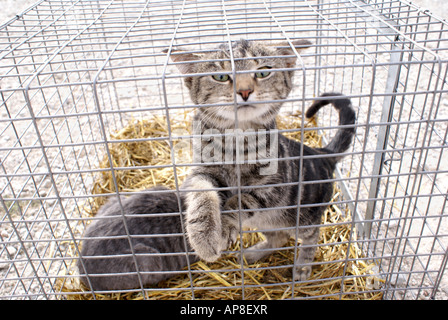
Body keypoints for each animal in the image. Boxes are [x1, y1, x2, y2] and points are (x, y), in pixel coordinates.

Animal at [166, 39, 356, 280]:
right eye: (220, 76)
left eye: (263, 71)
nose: (245, 90)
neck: (236, 139)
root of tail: (322, 154)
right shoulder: (203, 171)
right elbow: (202, 195)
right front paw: (203, 235)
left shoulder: (272, 185)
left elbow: (240, 202)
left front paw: (224, 227)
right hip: (267, 221)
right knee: (279, 237)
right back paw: (253, 254)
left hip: (303, 217)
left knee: (312, 235)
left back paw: (302, 266)